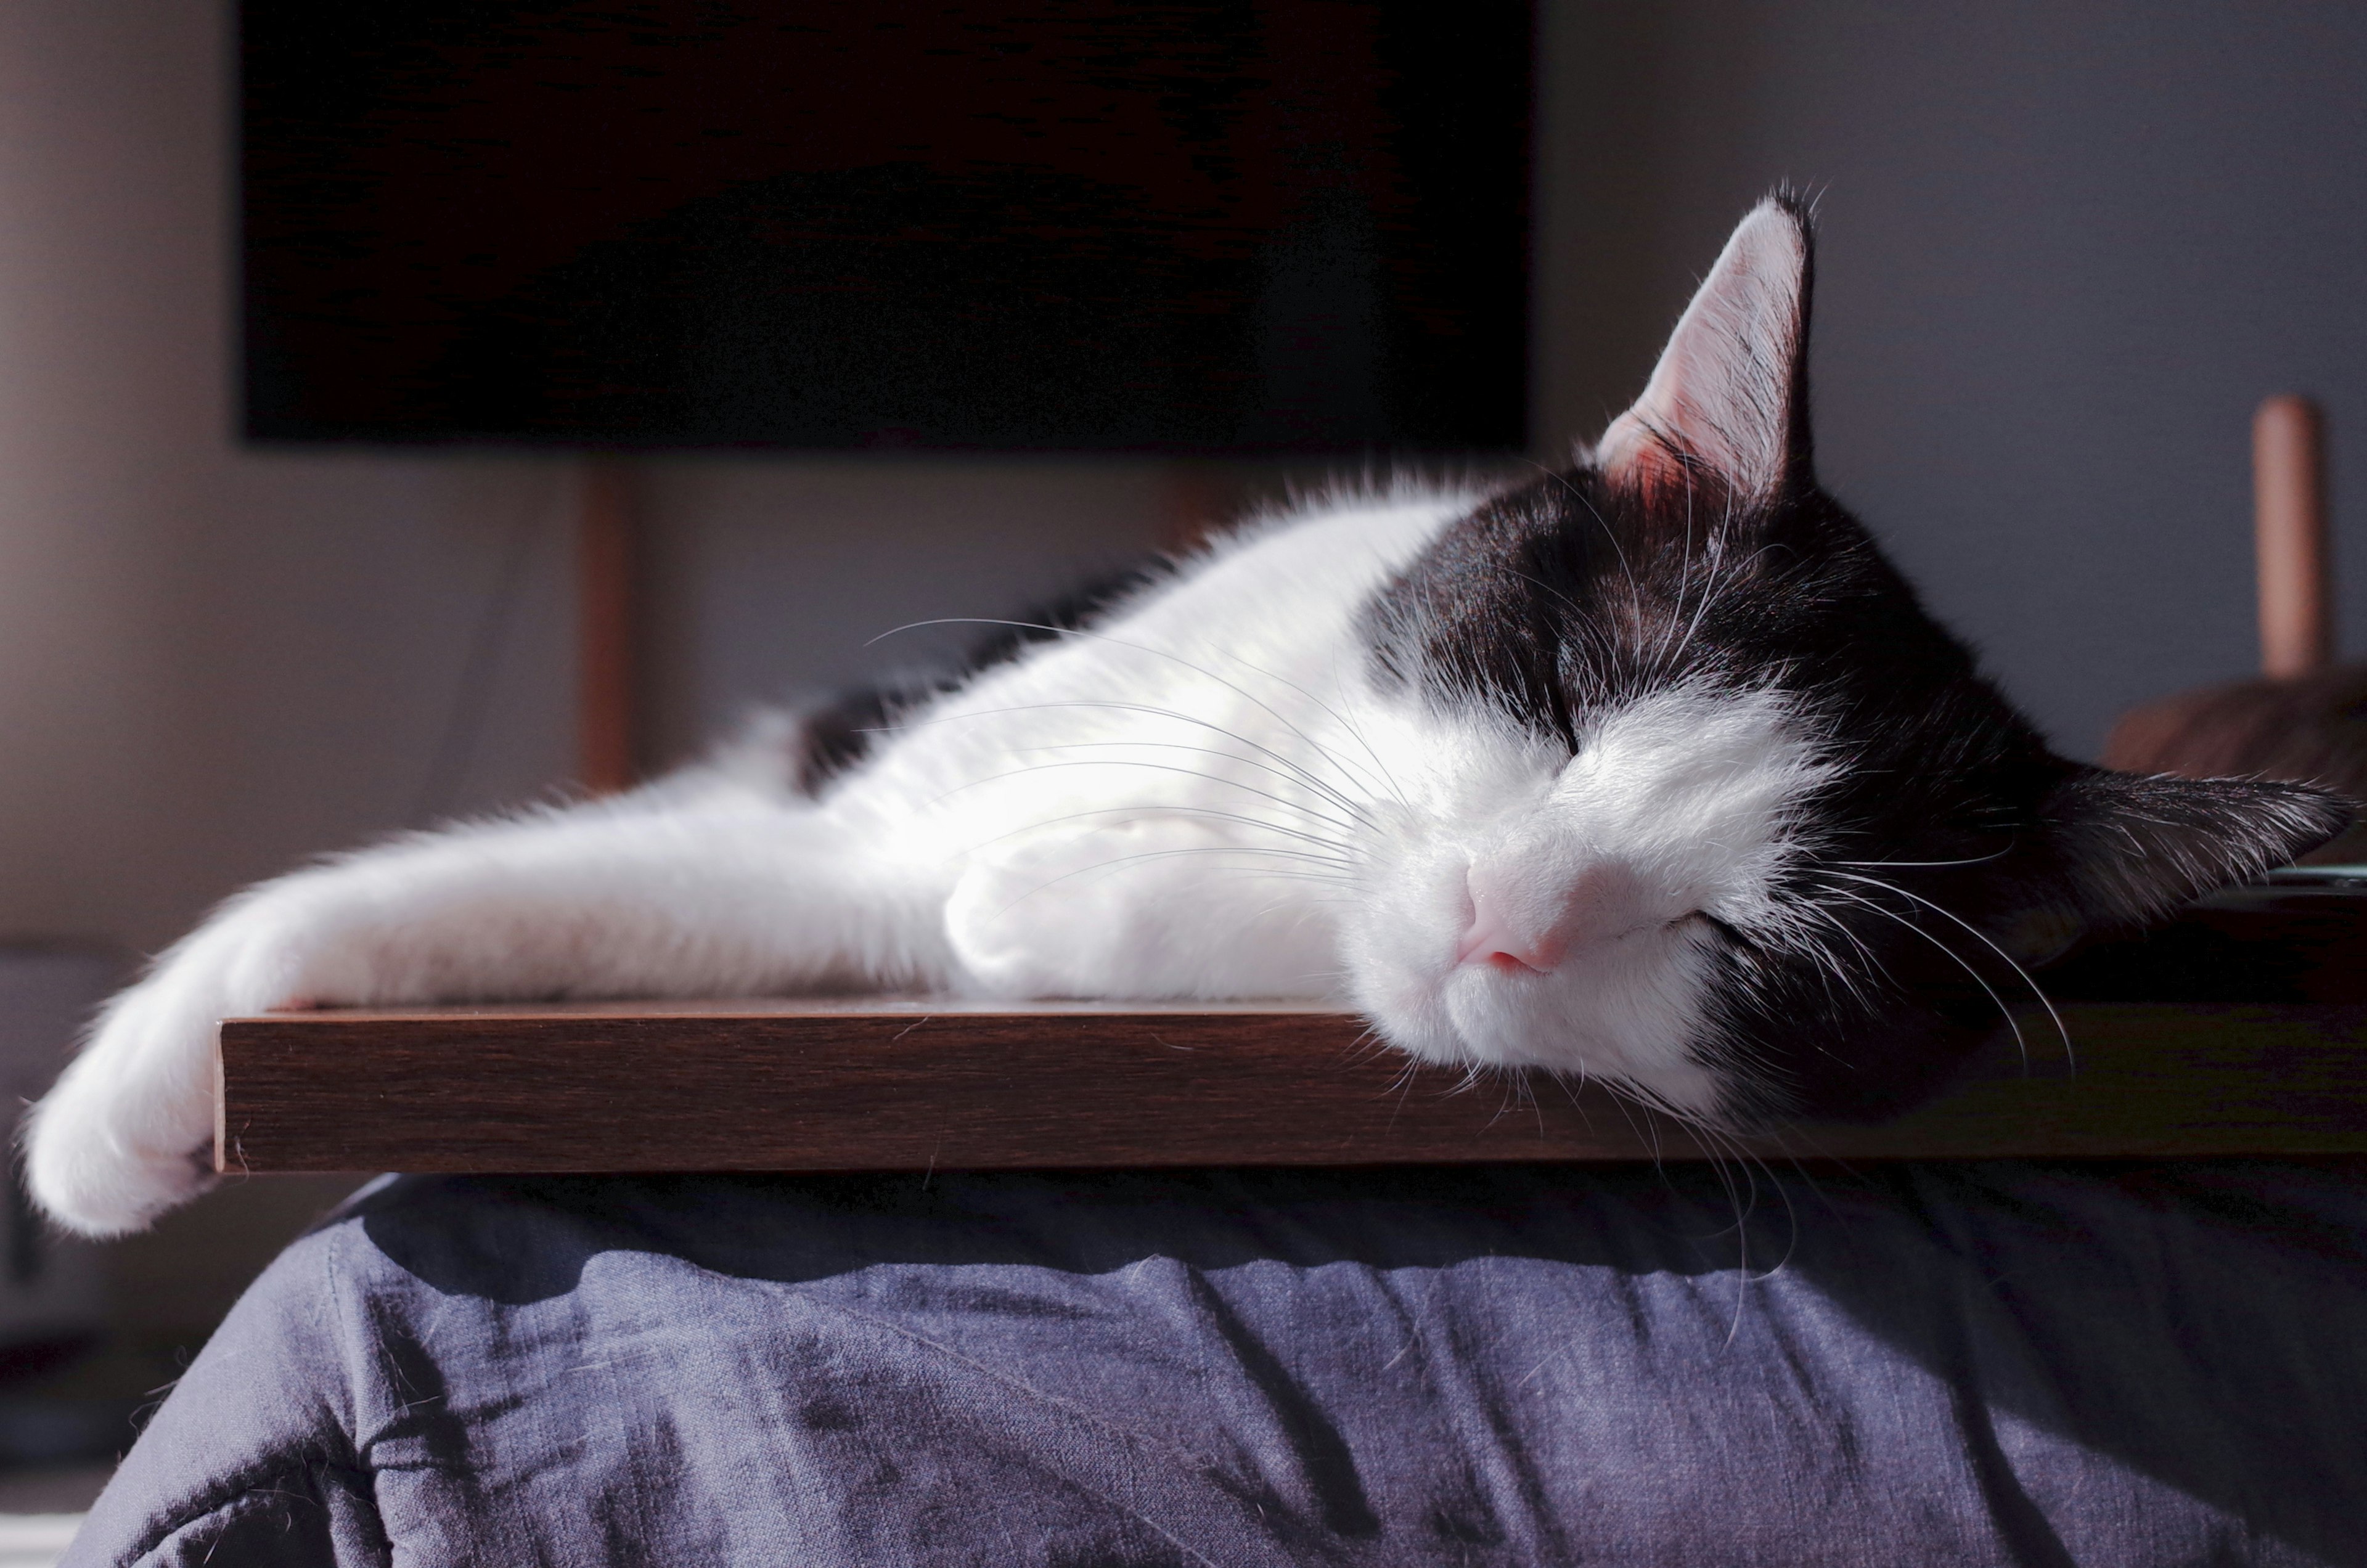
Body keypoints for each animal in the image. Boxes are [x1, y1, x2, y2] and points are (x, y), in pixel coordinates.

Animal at [23, 200, 2348, 1241]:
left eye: (1757, 947)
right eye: (1555, 698)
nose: (1507, 912)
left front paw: (1063, 912)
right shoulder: (846, 820)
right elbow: (439, 886)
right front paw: (124, 1101)